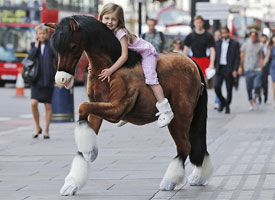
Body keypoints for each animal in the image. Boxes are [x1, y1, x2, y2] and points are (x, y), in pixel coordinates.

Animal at [46, 15, 215, 195]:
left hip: (181, 116)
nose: (61, 79)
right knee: (196, 144)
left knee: (185, 146)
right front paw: (73, 181)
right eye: (56, 49)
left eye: (73, 46)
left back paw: (170, 180)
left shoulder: (116, 109)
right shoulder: (97, 108)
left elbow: (82, 107)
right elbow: (85, 118)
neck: (111, 65)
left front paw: (89, 152)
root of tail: (192, 62)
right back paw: (199, 176)